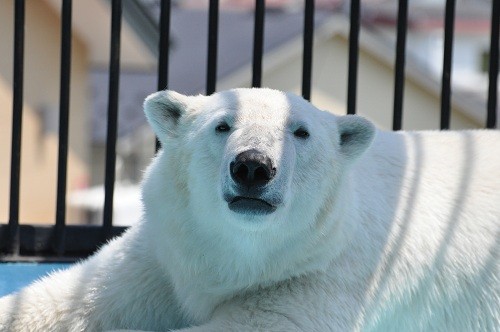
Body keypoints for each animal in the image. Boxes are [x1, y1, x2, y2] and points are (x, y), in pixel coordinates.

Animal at [0, 87, 500, 330]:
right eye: (222, 125)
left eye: (300, 132)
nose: (253, 166)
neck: (246, 254)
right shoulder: (168, 250)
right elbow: (79, 295)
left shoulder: (319, 276)